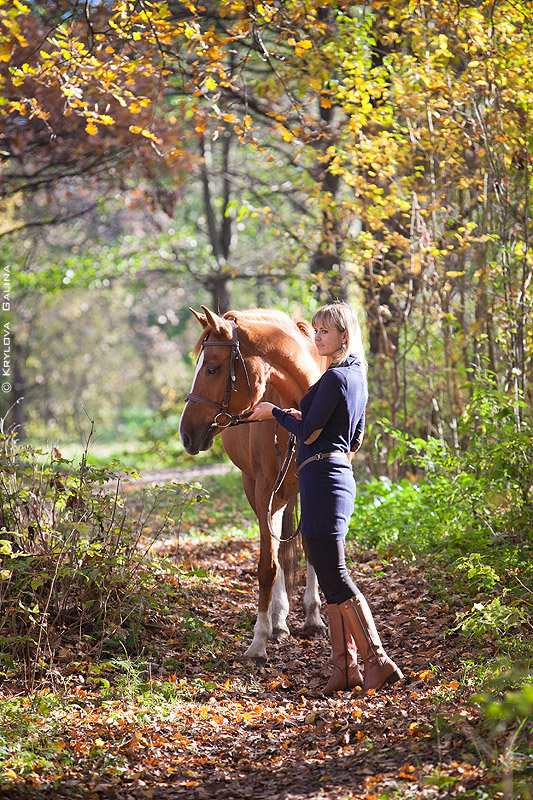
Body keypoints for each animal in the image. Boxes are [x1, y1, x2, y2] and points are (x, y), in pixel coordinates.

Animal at [179, 306, 326, 664]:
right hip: (260, 490)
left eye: (212, 368)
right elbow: (268, 566)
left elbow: (310, 549)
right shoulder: (264, 491)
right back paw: (278, 621)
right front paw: (260, 639)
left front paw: (314, 618)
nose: (185, 434)